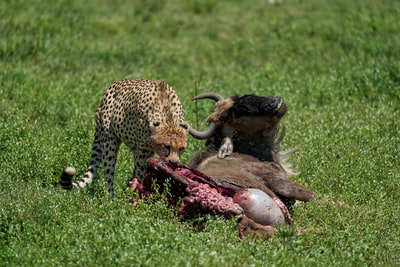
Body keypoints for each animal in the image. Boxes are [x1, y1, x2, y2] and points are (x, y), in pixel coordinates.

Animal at [61, 77, 189, 197]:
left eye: (181, 148)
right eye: (166, 146)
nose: (174, 162)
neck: (168, 117)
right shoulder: (142, 153)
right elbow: (140, 175)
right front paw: (139, 197)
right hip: (109, 143)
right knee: (108, 173)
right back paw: (111, 199)